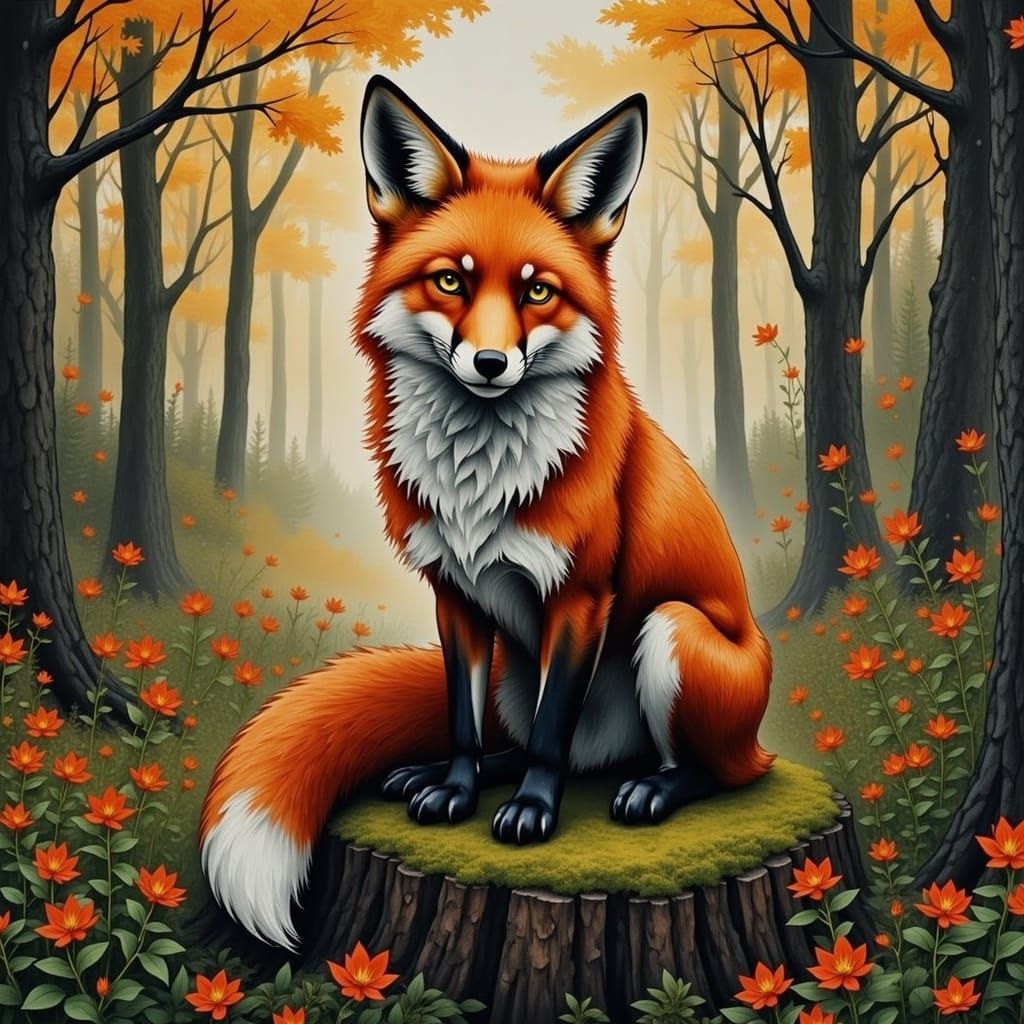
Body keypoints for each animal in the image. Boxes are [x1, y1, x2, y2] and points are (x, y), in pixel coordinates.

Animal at [199, 76, 774, 950]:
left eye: (537, 290)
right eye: (451, 281)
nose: (492, 362)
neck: (480, 482)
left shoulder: (580, 598)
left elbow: (550, 732)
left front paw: (532, 811)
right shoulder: (455, 590)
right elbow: (463, 723)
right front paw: (457, 790)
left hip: (671, 630)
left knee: (709, 771)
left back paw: (654, 789)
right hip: (514, 666)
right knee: (527, 735)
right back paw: (429, 772)